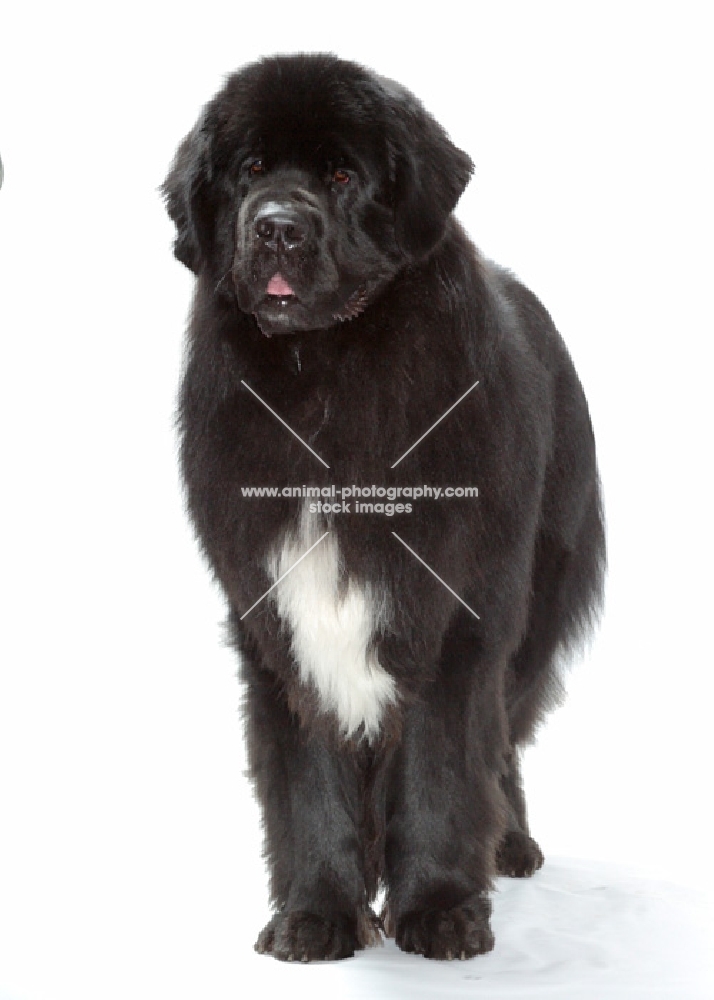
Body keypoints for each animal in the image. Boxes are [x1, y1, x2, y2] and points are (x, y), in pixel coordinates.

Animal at [164, 52, 604, 960]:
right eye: (249, 170)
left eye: (341, 175)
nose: (277, 227)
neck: (326, 374)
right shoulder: (274, 614)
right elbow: (306, 775)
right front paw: (317, 914)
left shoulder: (454, 609)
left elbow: (443, 762)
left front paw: (440, 909)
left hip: (537, 603)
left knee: (504, 734)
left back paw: (510, 844)